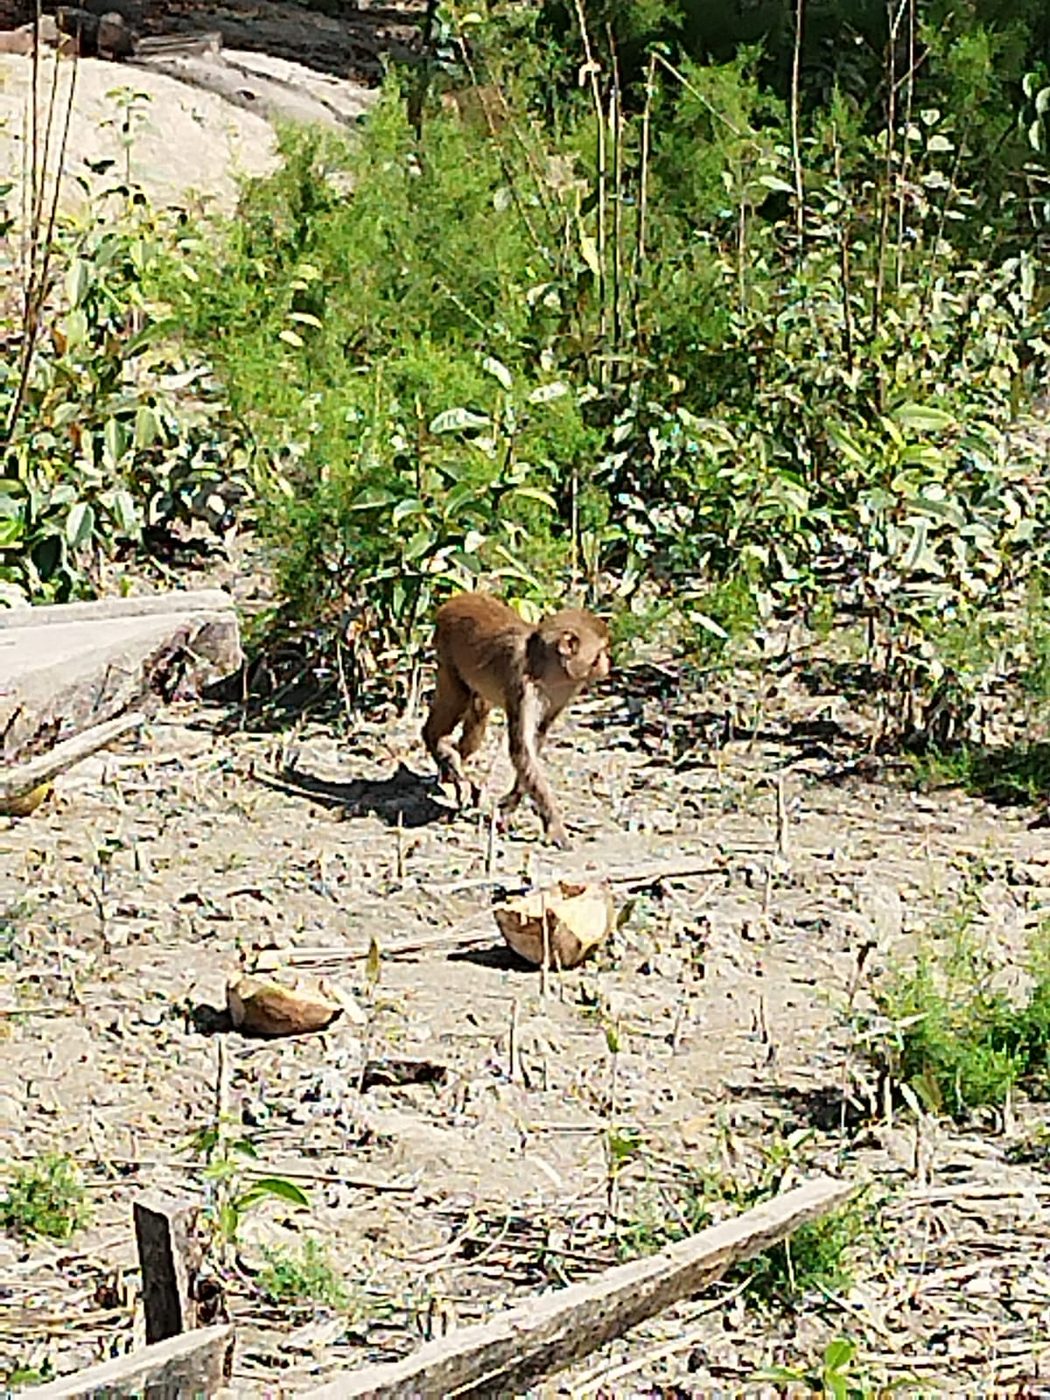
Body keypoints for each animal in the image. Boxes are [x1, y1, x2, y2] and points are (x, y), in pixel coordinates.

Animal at [422, 592, 611, 849]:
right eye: (599, 653)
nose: (608, 663)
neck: (547, 669)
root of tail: (454, 600)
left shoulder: (566, 689)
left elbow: (535, 739)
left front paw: (509, 806)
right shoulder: (522, 685)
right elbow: (521, 748)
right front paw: (555, 825)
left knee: (477, 714)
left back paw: (454, 766)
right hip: (446, 648)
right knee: (458, 697)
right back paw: (437, 744)